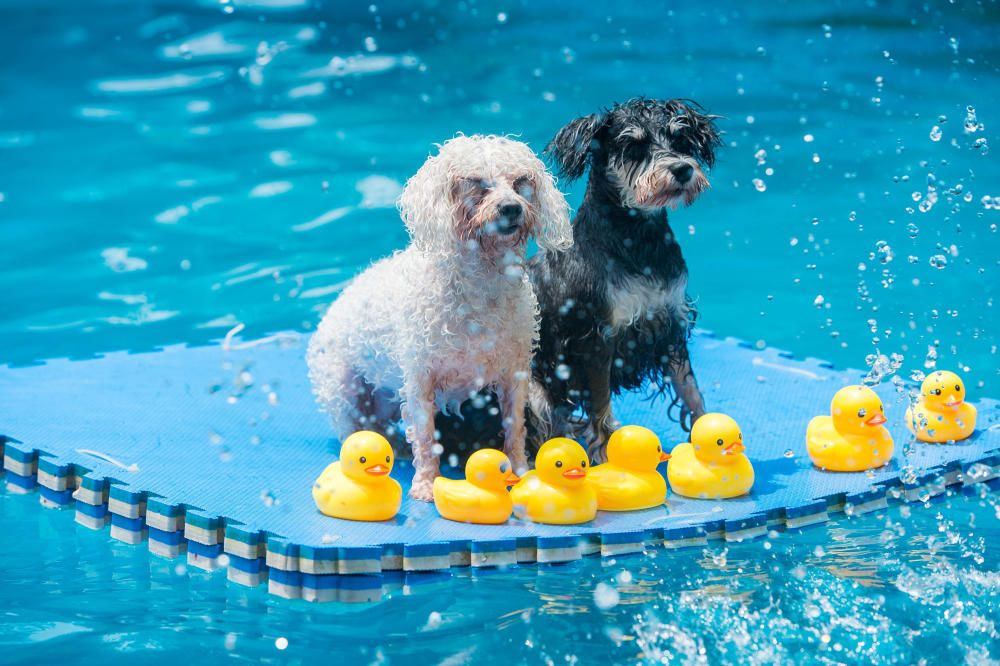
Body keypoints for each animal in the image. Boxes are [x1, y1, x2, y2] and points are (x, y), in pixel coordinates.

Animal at [304, 135, 572, 498]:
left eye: (521, 181)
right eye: (477, 181)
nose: (511, 208)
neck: (478, 282)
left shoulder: (514, 372)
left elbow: (515, 427)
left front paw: (520, 471)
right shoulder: (420, 376)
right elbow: (426, 435)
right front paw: (426, 485)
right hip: (343, 389)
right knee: (353, 427)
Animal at [532, 98, 720, 460]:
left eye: (680, 139)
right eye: (633, 146)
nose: (682, 170)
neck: (638, 240)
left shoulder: (670, 320)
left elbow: (690, 387)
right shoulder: (597, 337)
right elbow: (601, 404)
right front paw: (607, 454)